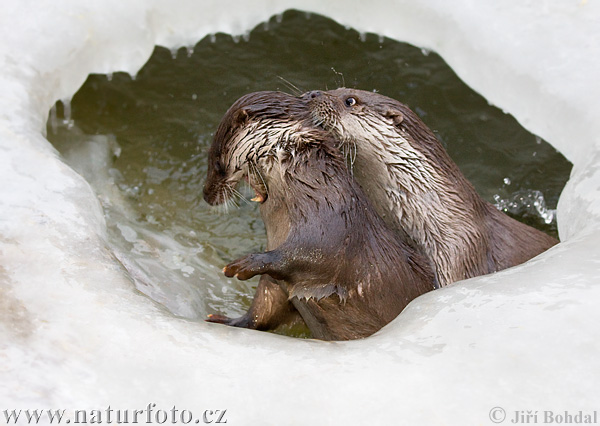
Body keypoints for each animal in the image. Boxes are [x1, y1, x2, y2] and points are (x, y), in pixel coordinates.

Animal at [204, 91, 434, 342]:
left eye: (217, 163)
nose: (206, 195)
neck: (315, 188)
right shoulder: (276, 284)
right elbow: (263, 307)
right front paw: (227, 321)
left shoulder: (332, 224)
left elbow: (313, 255)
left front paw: (247, 263)